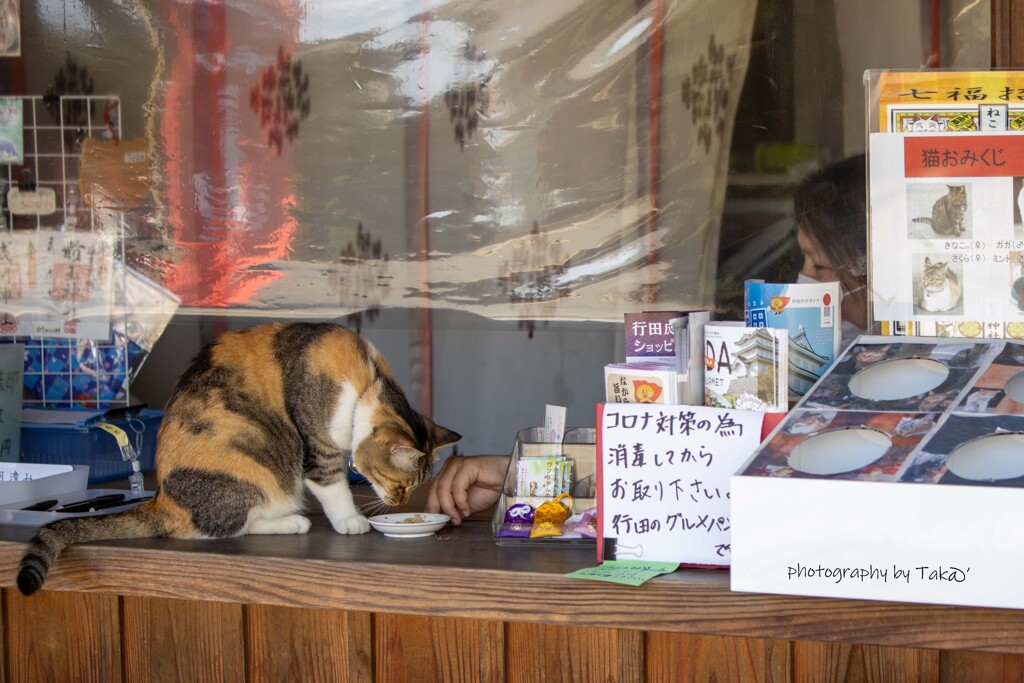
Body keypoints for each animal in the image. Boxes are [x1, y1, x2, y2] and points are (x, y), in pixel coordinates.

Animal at [18, 323, 460, 593]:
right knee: (219, 527)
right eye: (399, 483)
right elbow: (331, 483)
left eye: (417, 486)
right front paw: (351, 520)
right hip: (250, 458)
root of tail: (161, 499)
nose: (402, 501)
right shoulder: (317, 445)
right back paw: (292, 522)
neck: (366, 381)